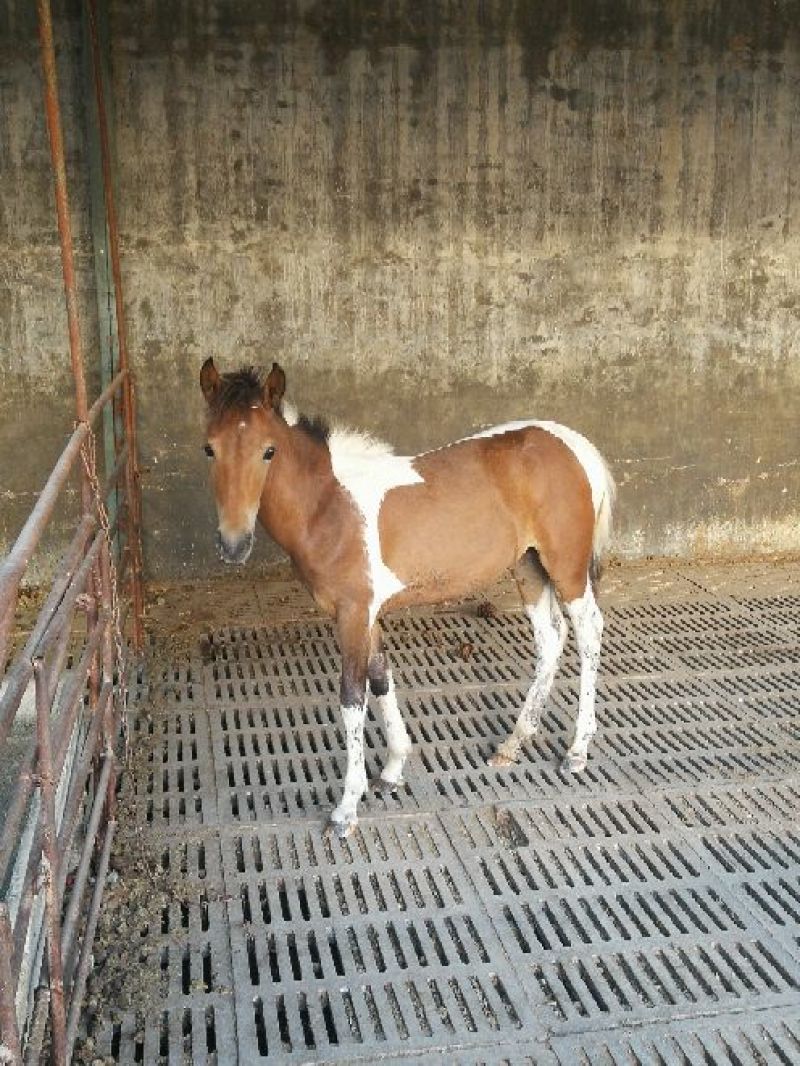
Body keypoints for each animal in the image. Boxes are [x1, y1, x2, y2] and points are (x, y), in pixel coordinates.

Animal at [199, 359, 615, 839]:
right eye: (209, 449)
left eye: (269, 451)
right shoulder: (368, 616)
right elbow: (381, 680)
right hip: (529, 566)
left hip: (567, 569)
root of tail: (574, 445)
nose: (233, 544)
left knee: (588, 633)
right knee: (551, 638)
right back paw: (513, 743)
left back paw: (577, 750)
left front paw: (347, 808)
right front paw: (392, 771)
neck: (328, 505)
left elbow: (352, 699)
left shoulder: (353, 615)